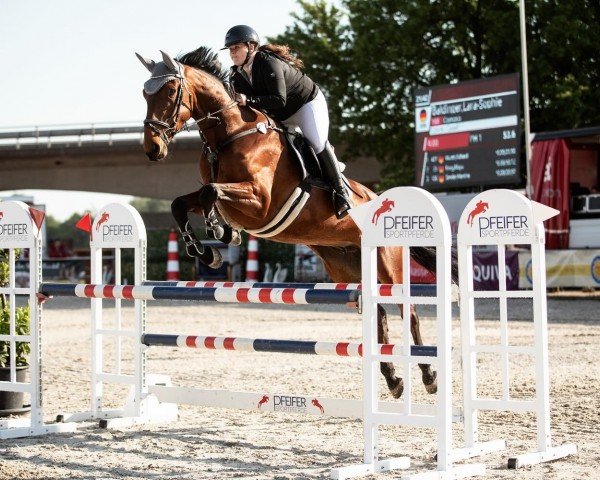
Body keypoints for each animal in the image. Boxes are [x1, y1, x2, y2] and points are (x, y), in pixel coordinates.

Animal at [137, 46, 446, 398]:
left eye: (170, 91)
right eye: (144, 94)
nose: (152, 148)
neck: (228, 135)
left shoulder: (260, 202)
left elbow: (210, 192)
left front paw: (221, 233)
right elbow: (183, 202)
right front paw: (208, 248)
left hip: (388, 267)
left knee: (409, 313)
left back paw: (428, 376)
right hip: (348, 268)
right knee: (378, 315)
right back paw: (393, 380)